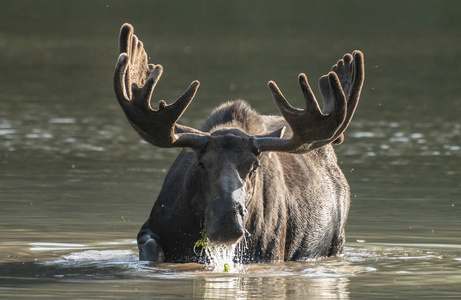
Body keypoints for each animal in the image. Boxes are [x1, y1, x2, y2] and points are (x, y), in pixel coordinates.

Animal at [112, 24, 362, 262]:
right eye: (201, 164)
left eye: (255, 166)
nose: (227, 222)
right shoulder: (151, 229)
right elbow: (151, 248)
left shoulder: (270, 253)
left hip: (337, 241)